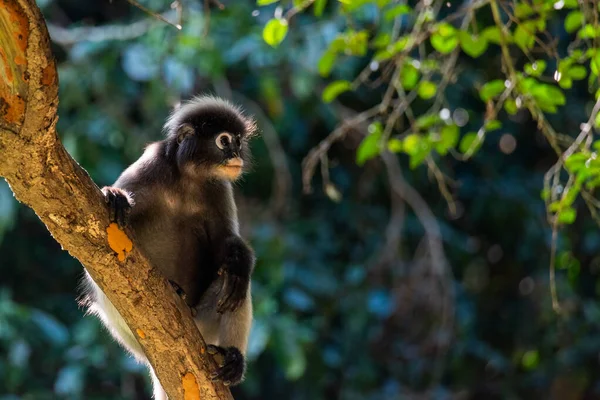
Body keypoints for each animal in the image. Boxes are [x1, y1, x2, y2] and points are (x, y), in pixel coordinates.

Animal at [80, 95, 258, 398]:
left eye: (238, 140)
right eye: (224, 141)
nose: (236, 154)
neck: (188, 180)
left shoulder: (219, 187)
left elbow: (226, 243)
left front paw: (240, 262)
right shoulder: (150, 166)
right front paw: (115, 196)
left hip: (204, 326)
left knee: (236, 286)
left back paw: (232, 357)